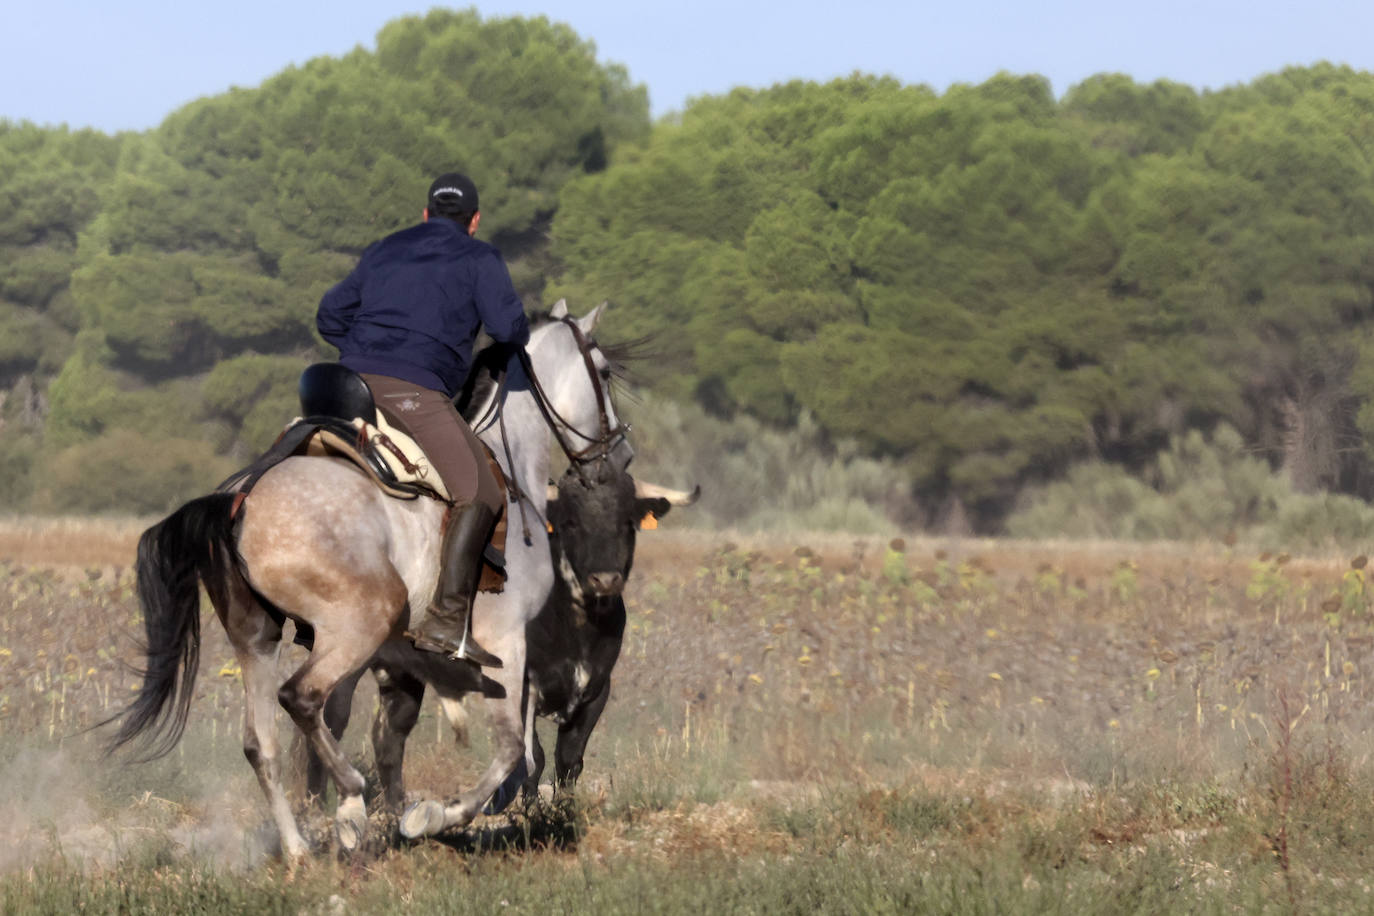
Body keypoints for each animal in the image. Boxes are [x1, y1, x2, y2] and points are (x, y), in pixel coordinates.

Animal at [107, 300, 632, 862]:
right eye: (603, 371)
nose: (620, 453)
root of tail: (239, 502)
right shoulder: (505, 640)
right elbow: (512, 748)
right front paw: (429, 816)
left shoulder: (395, 655)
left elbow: (384, 729)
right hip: (360, 622)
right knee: (300, 698)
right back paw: (353, 796)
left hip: (260, 636)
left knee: (261, 742)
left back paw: (298, 848)